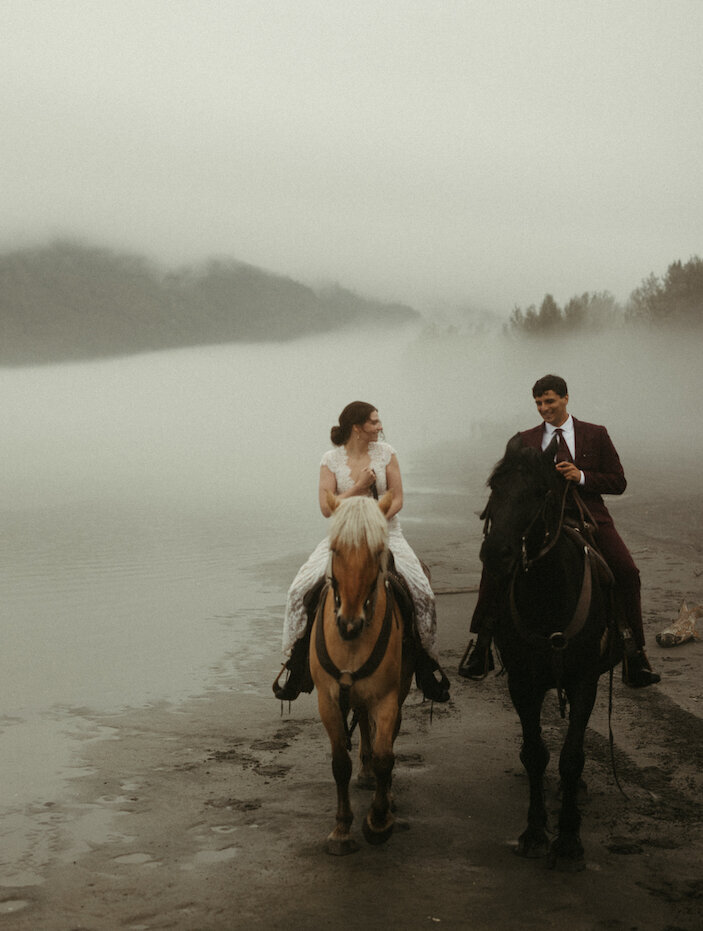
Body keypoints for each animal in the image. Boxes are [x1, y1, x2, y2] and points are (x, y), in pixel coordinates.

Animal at [310, 492, 416, 856]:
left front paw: (379, 822)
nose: (349, 623)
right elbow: (340, 763)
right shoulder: (328, 700)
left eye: (376, 551)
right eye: (335, 549)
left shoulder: (386, 698)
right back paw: (366, 773)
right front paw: (342, 831)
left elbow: (387, 756)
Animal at [482, 434, 620, 872]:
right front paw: (535, 832)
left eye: (541, 492)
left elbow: (572, 756)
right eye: (495, 488)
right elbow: (535, 753)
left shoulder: (584, 682)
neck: (549, 595)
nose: (497, 553)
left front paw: (569, 839)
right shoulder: (522, 684)